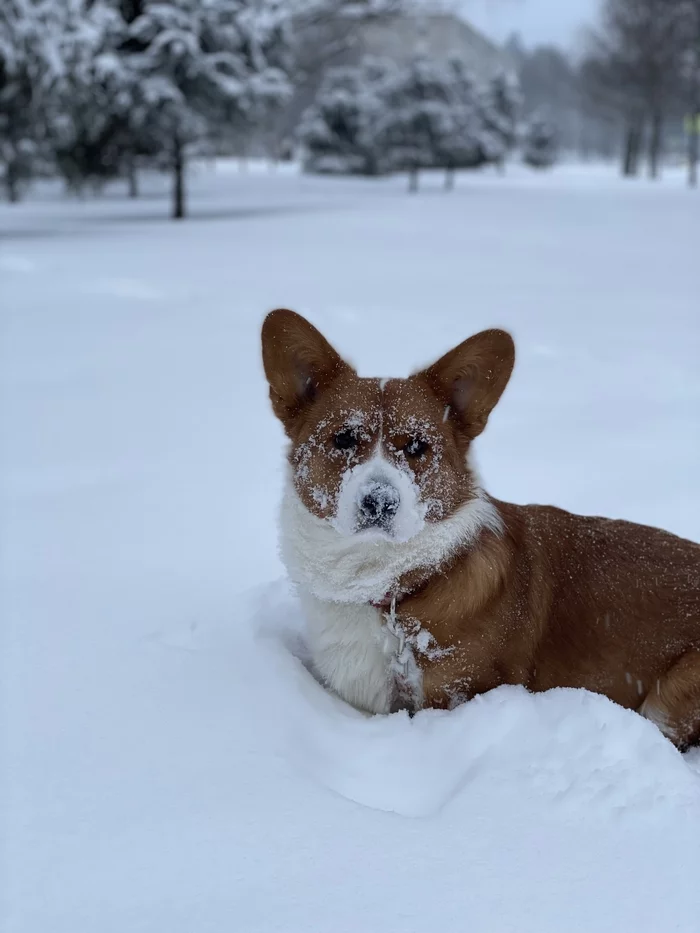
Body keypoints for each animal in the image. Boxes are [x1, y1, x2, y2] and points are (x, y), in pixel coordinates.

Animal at [262, 310, 700, 748]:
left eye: (417, 446)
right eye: (344, 439)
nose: (379, 503)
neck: (391, 586)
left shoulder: (456, 689)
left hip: (669, 699)